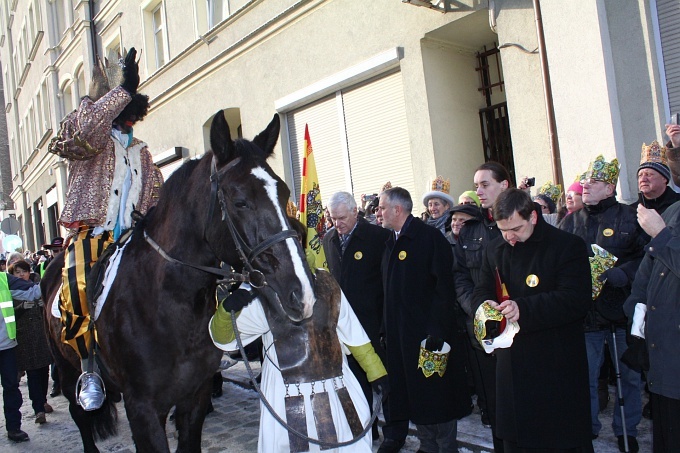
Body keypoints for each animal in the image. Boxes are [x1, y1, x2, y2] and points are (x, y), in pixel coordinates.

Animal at [41, 111, 318, 450]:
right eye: (240, 201)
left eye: (283, 192)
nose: (302, 293)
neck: (168, 303)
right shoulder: (143, 409)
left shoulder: (194, 396)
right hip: (66, 370)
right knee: (79, 414)